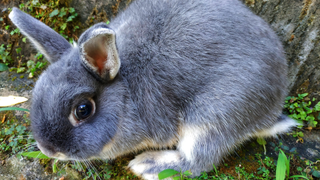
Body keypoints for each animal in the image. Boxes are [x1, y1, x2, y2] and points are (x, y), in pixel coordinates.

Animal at [9, 0, 298, 179]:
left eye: (83, 109)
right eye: (37, 91)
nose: (48, 149)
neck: (126, 89)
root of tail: (271, 112)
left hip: (213, 116)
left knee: (197, 161)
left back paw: (148, 165)